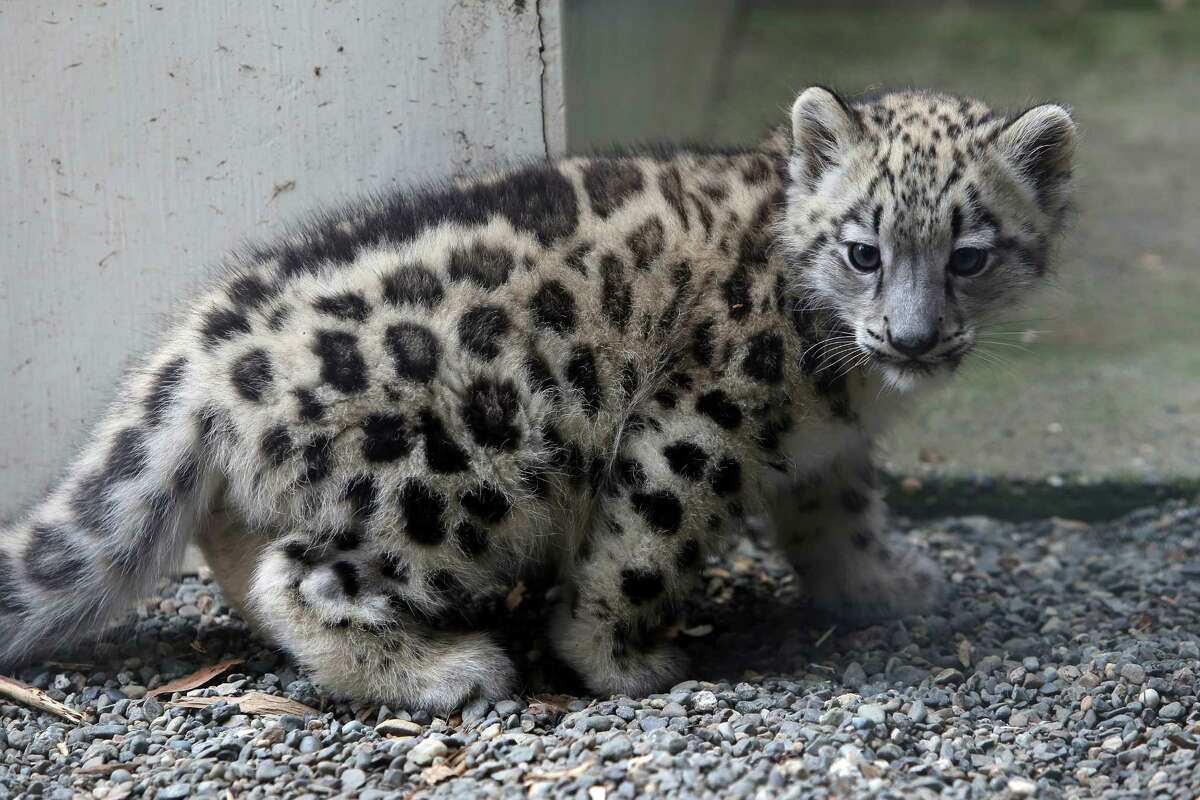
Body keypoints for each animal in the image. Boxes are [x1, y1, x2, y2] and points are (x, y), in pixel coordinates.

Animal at [0, 87, 1076, 711]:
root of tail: (198, 343)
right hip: (458, 476)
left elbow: (838, 519)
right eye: (863, 250)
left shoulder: (826, 453)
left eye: (969, 256)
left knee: (237, 544)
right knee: (300, 575)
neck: (839, 386)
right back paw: (441, 670)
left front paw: (886, 584)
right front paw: (616, 661)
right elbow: (643, 544)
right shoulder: (697, 424)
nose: (912, 337)